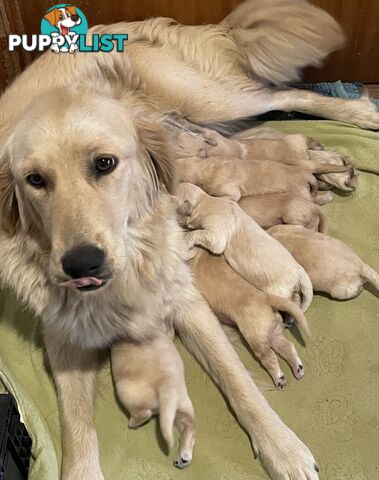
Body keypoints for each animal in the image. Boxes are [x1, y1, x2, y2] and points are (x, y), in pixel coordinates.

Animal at [111, 334, 196, 468]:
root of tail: (168, 384)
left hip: (126, 391)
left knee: (144, 413)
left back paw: (133, 423)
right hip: (181, 408)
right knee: (190, 427)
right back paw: (183, 458)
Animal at [177, 182, 314, 314]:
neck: (203, 200)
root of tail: (301, 273)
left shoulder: (216, 232)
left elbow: (199, 234)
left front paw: (185, 238)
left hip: (280, 289)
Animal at [191, 249, 310, 388]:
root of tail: (265, 298)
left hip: (256, 340)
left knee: (270, 357)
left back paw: (279, 379)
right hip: (272, 334)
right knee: (287, 346)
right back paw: (298, 369)